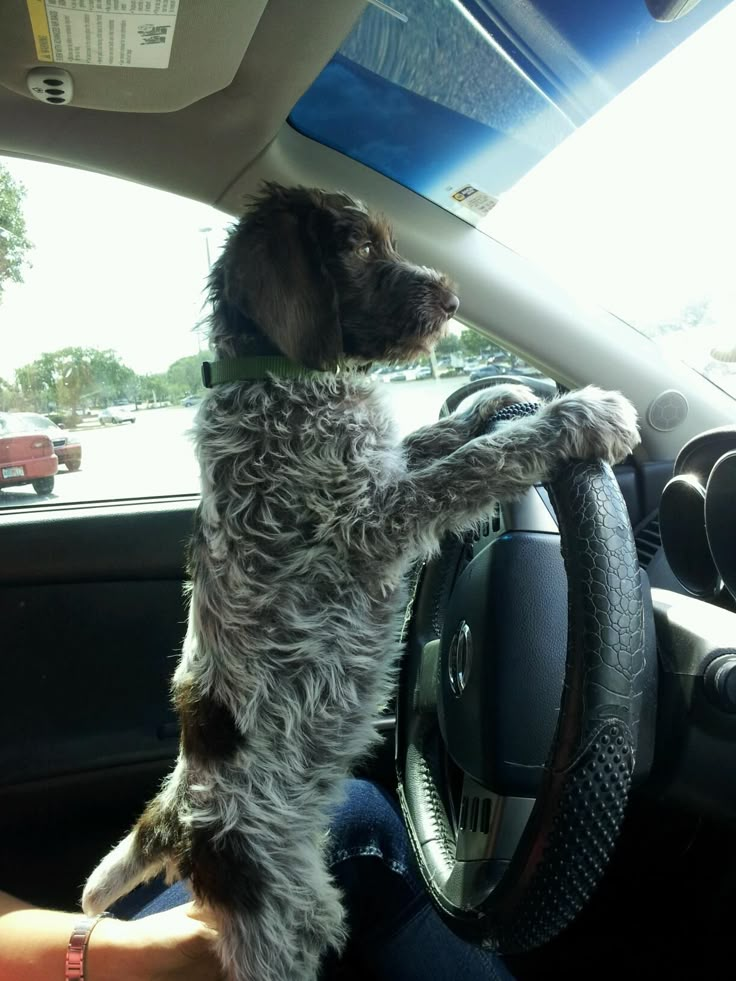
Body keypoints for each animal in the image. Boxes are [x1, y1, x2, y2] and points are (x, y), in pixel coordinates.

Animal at [83, 184, 640, 980]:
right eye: (360, 247)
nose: (452, 297)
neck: (278, 375)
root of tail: (179, 816)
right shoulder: (372, 520)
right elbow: (476, 464)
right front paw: (576, 415)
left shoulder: (382, 472)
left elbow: (440, 442)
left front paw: (487, 402)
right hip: (285, 919)